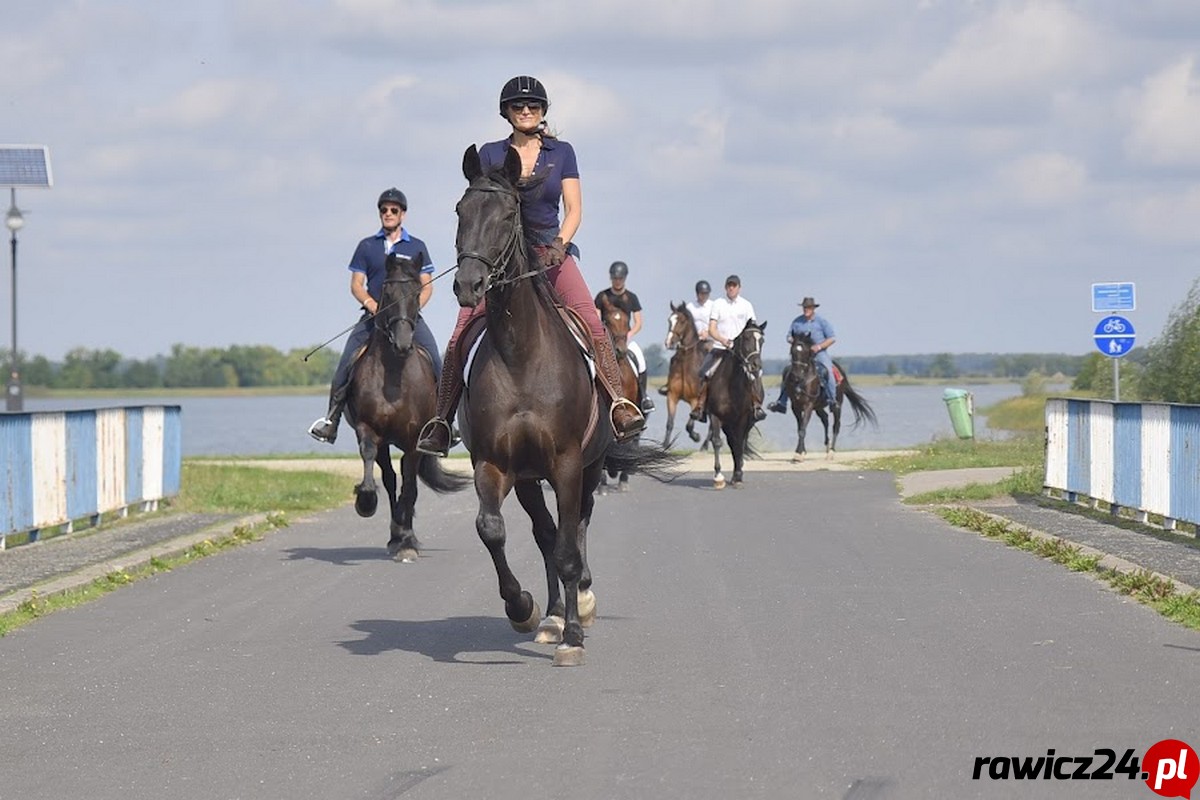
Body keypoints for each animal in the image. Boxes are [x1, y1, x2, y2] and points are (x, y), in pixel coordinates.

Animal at [348, 251, 468, 563]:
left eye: (416, 293)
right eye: (388, 292)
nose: (402, 343)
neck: (394, 377)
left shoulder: (414, 440)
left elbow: (410, 488)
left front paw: (407, 541)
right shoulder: (369, 429)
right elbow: (373, 461)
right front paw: (366, 500)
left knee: (406, 482)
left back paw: (404, 534)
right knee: (390, 479)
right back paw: (394, 534)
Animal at [451, 145, 676, 671]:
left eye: (507, 214)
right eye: (460, 211)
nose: (469, 285)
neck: (520, 353)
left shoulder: (569, 462)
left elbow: (571, 547)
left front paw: (574, 635)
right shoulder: (495, 463)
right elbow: (494, 530)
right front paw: (524, 608)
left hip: (587, 468)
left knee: (579, 526)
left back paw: (581, 605)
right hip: (530, 479)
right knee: (546, 534)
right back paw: (552, 616)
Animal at [700, 319, 768, 489]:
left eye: (762, 341)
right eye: (747, 339)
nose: (756, 366)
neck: (731, 384)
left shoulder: (743, 418)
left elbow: (739, 444)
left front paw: (738, 475)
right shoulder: (715, 415)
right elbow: (717, 442)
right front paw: (718, 477)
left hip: (746, 421)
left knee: (739, 442)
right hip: (727, 423)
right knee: (732, 442)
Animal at [782, 331, 878, 460]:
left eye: (806, 351)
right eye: (792, 351)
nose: (796, 375)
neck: (803, 380)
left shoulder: (808, 405)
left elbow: (802, 428)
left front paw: (798, 454)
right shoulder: (795, 406)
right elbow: (800, 428)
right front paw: (801, 452)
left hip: (836, 405)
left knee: (836, 425)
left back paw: (831, 452)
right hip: (818, 407)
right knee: (825, 419)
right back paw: (827, 447)